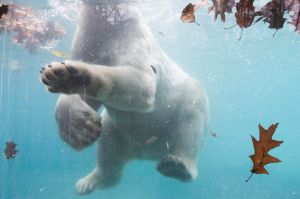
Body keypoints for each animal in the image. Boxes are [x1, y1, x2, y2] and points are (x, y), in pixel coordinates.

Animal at [39, 0, 209, 196]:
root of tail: (145, 152)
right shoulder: (87, 39)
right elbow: (85, 101)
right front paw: (78, 128)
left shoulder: (131, 36)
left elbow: (140, 80)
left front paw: (73, 76)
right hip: (119, 132)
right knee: (107, 143)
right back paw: (88, 183)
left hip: (186, 104)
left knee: (189, 125)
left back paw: (177, 165)